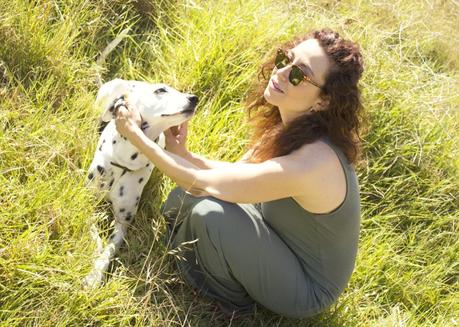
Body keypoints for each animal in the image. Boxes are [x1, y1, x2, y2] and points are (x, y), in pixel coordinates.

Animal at [84, 79, 198, 290]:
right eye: (160, 90)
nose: (194, 98)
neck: (123, 161)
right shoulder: (90, 206)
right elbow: (96, 237)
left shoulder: (123, 222)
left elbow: (108, 250)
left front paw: (95, 275)